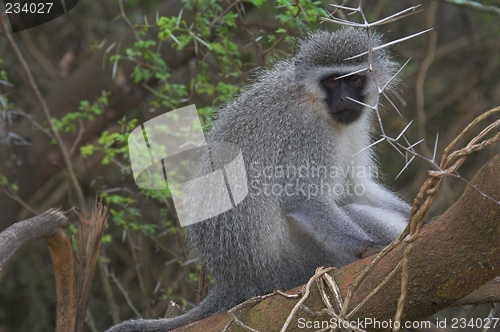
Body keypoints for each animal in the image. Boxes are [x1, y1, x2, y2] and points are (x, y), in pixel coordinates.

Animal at [106, 26, 410, 332]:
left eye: (355, 78)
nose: (346, 99)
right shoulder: (307, 132)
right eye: (332, 81)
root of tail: (235, 279)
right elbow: (302, 197)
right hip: (296, 265)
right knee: (350, 214)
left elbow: (355, 186)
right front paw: (371, 247)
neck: (312, 99)